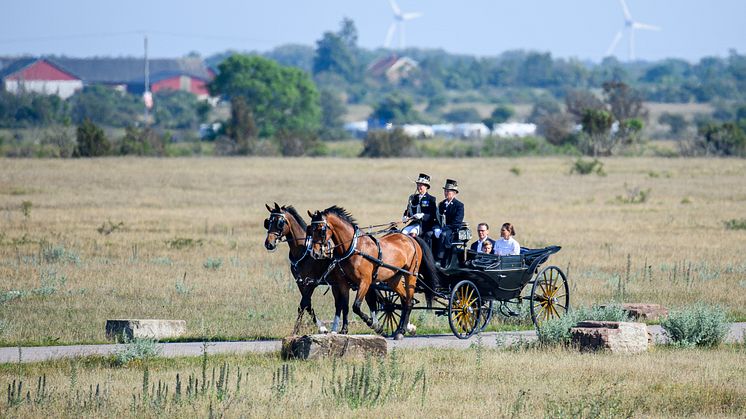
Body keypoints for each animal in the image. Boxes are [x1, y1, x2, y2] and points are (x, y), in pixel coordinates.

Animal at [264, 203, 378, 334]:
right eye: (268, 222)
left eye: (279, 222)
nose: (269, 244)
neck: (304, 250)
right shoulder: (301, 283)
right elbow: (307, 305)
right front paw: (318, 328)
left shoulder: (311, 282)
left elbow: (303, 304)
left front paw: (304, 330)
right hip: (337, 285)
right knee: (340, 304)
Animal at [306, 207, 438, 342]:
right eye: (310, 229)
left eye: (321, 229)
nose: (315, 253)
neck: (353, 248)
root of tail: (410, 239)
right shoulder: (343, 283)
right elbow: (345, 306)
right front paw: (344, 330)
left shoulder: (365, 282)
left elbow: (356, 306)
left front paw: (374, 325)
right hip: (394, 279)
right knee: (405, 300)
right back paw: (400, 329)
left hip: (410, 275)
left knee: (409, 302)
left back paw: (401, 331)